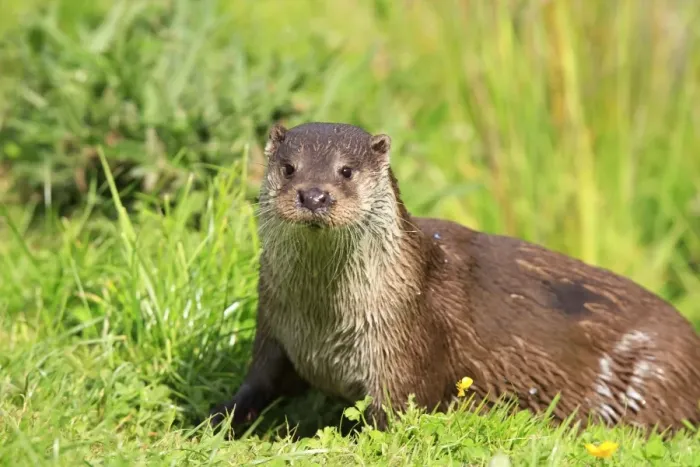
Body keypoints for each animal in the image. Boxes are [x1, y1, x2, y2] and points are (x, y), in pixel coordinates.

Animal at [210, 122, 700, 433]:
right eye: (288, 167)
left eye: (346, 170)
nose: (313, 195)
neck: (322, 321)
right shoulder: (275, 327)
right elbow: (259, 382)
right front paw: (217, 419)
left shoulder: (404, 346)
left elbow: (394, 416)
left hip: (658, 371)